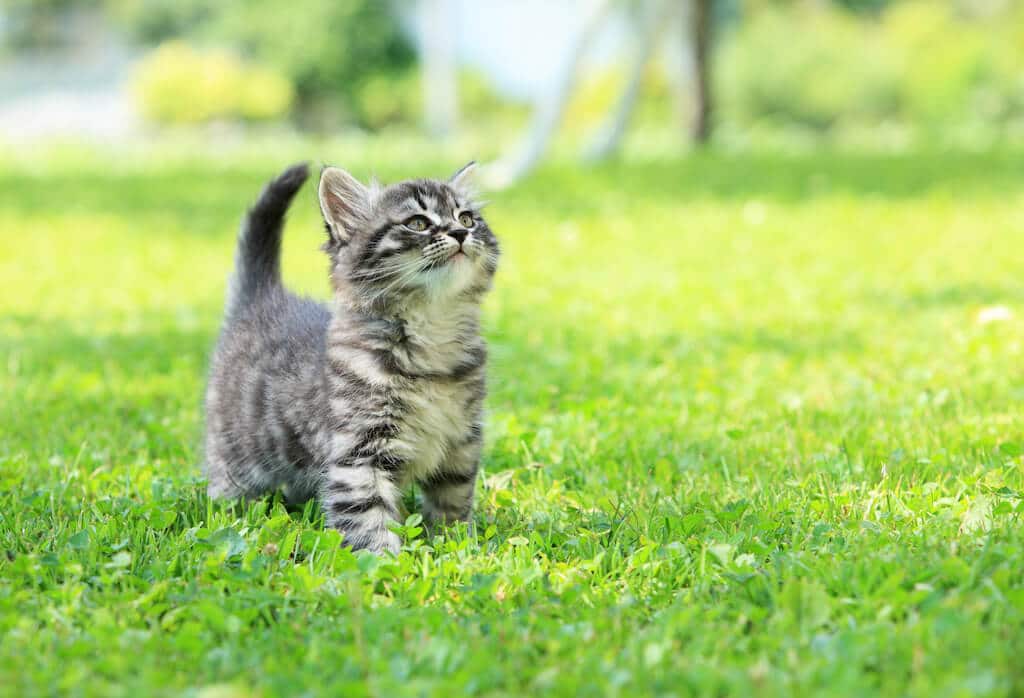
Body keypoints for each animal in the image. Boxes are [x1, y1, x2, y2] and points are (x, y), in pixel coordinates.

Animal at [201, 160, 497, 552]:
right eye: (418, 223)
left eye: (467, 218)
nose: (461, 233)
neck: (432, 334)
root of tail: (263, 298)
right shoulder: (358, 454)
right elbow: (368, 518)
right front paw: (387, 561)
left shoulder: (461, 443)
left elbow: (453, 500)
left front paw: (456, 545)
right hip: (236, 453)